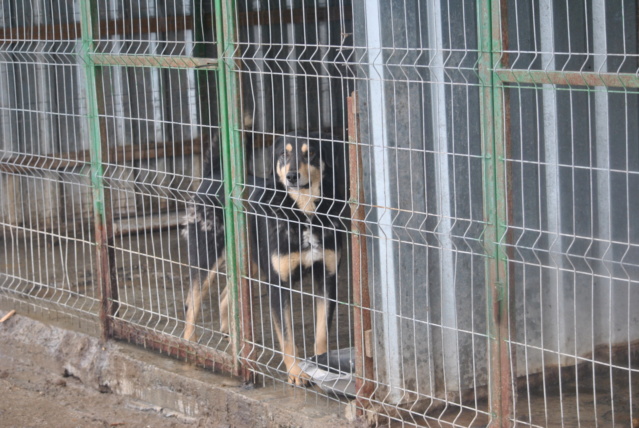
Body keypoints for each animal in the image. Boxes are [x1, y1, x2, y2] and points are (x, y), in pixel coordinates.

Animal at [182, 130, 348, 384]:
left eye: (311, 152)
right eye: (283, 154)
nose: (291, 176)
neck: (303, 212)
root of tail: (213, 175)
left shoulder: (327, 279)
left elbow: (322, 334)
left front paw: (323, 366)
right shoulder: (278, 284)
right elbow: (287, 337)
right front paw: (295, 372)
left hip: (247, 263)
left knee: (225, 296)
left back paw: (233, 337)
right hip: (206, 257)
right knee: (193, 302)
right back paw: (190, 344)